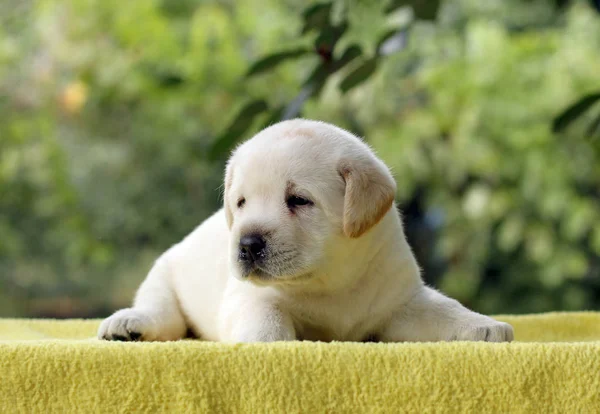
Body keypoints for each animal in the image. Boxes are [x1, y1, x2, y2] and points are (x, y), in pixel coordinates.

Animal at [99, 119, 516, 342]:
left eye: (298, 200)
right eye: (241, 202)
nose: (247, 244)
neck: (329, 282)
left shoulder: (403, 301)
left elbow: (446, 309)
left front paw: (486, 326)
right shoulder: (252, 298)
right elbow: (266, 320)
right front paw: (269, 345)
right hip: (163, 275)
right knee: (162, 313)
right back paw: (128, 324)